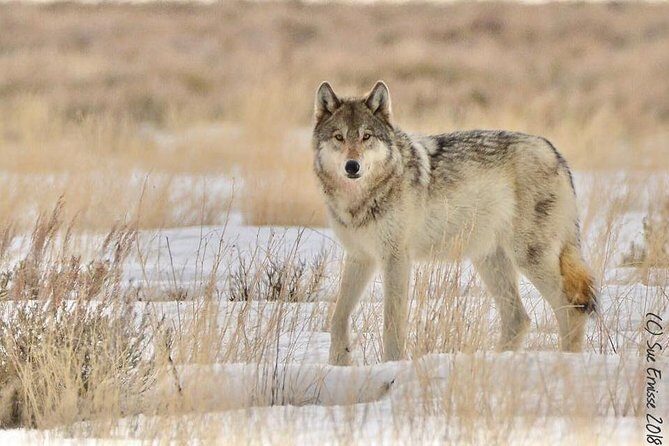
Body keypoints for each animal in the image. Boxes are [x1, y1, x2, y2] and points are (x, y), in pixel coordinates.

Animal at [312, 81, 596, 365]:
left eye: (366, 137)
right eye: (339, 137)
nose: (352, 166)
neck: (359, 201)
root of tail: (554, 151)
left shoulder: (396, 258)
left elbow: (392, 322)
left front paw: (392, 364)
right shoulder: (360, 256)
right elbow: (338, 316)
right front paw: (339, 362)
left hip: (528, 258)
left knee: (571, 309)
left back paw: (567, 362)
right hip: (489, 261)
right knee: (518, 318)